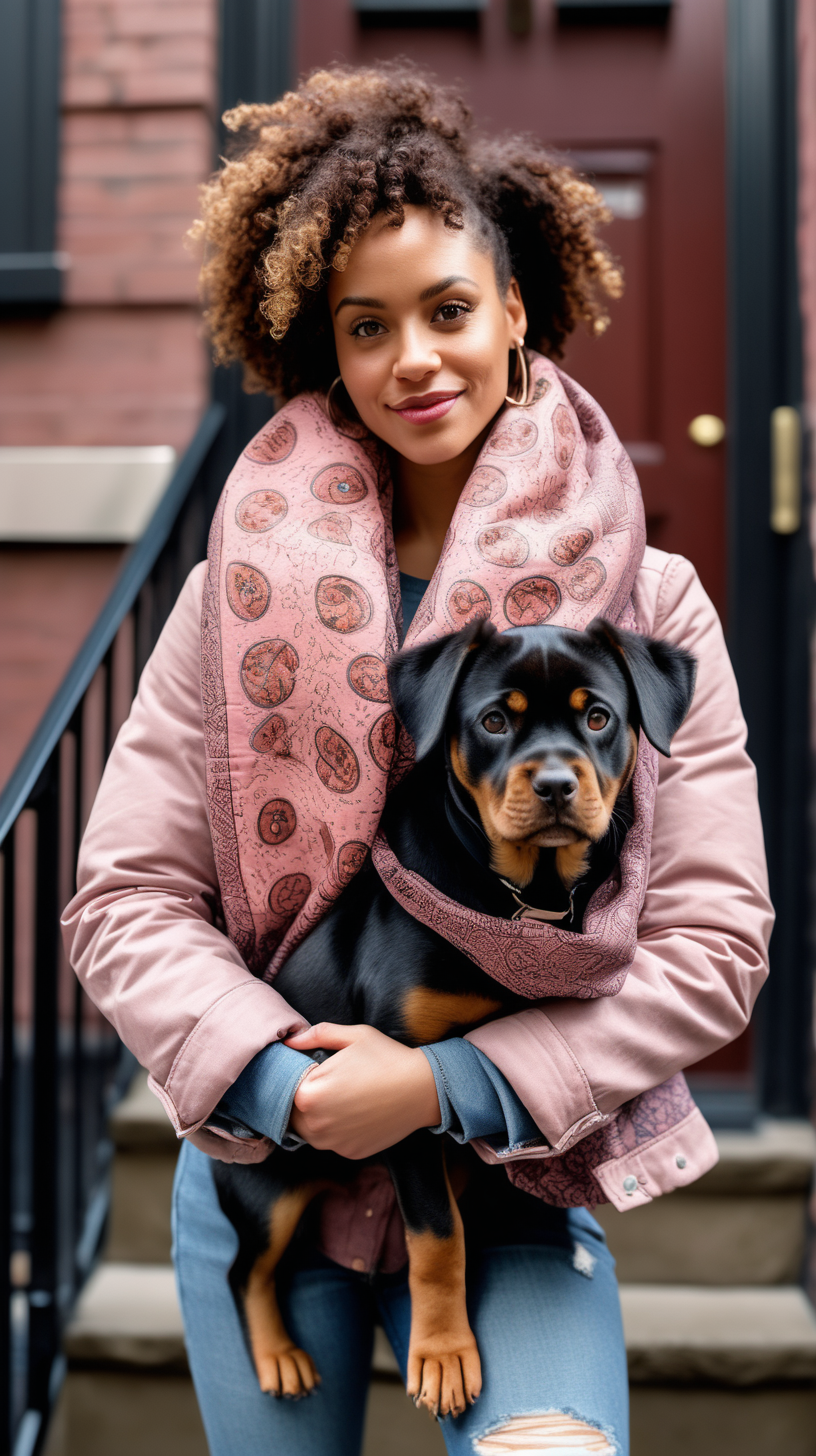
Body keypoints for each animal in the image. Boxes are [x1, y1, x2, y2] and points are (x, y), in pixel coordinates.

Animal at [211, 620, 693, 1415]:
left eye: (598, 717)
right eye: (495, 721)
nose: (556, 785)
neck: (519, 897)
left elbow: (464, 1211)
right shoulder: (392, 1091)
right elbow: (437, 1237)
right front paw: (442, 1354)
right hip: (268, 1190)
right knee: (245, 1268)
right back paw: (280, 1357)